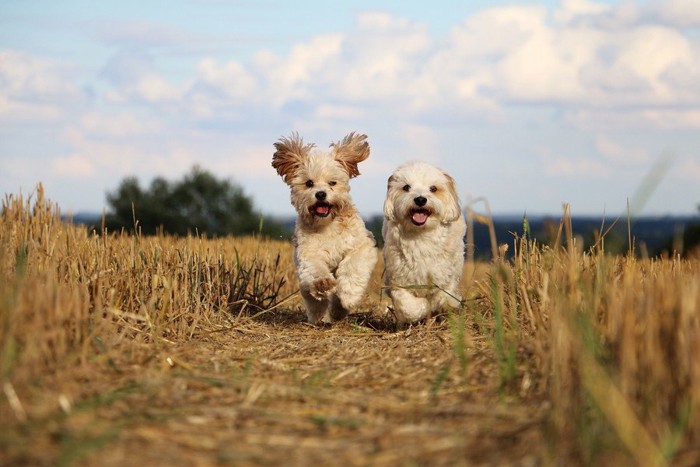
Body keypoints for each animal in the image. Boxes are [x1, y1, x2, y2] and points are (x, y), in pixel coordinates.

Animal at [270, 131, 378, 322]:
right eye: (309, 183)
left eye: (332, 183)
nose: (321, 194)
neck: (328, 225)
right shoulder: (308, 254)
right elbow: (315, 269)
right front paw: (323, 284)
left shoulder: (361, 246)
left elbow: (353, 266)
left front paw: (349, 294)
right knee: (314, 301)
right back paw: (320, 316)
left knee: (336, 300)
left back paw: (338, 309)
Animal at [382, 163, 464, 328]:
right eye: (406, 187)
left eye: (433, 188)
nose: (420, 199)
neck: (421, 234)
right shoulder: (397, 281)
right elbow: (409, 307)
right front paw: (422, 309)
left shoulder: (446, 278)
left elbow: (443, 297)